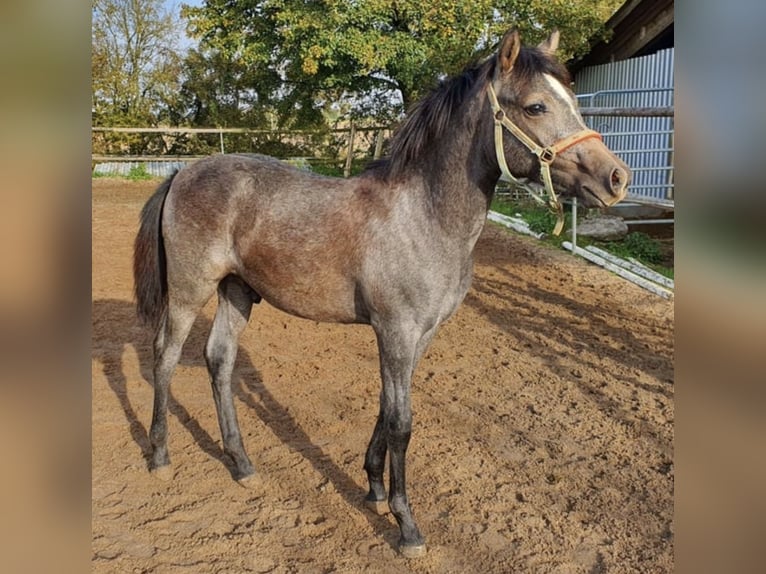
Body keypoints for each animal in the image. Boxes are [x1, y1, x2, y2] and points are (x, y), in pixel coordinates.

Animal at [134, 28, 632, 560]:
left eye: (574, 100)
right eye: (537, 106)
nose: (616, 178)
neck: (425, 214)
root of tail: (181, 173)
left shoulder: (419, 334)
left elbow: (386, 406)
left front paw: (372, 487)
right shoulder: (396, 330)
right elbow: (401, 422)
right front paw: (406, 524)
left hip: (237, 291)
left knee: (220, 359)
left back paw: (242, 463)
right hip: (189, 290)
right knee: (164, 356)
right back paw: (159, 455)